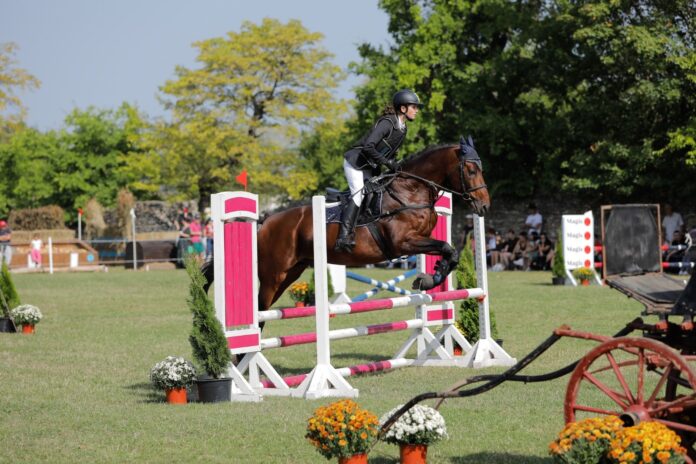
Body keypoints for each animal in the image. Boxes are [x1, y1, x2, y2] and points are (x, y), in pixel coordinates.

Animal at [202, 136, 490, 312]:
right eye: (471, 170)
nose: (484, 206)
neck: (409, 191)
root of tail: (264, 222)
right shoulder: (403, 243)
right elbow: (447, 248)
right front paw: (429, 279)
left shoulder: (420, 240)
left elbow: (449, 251)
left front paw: (430, 277)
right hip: (273, 274)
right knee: (261, 311)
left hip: (291, 272)